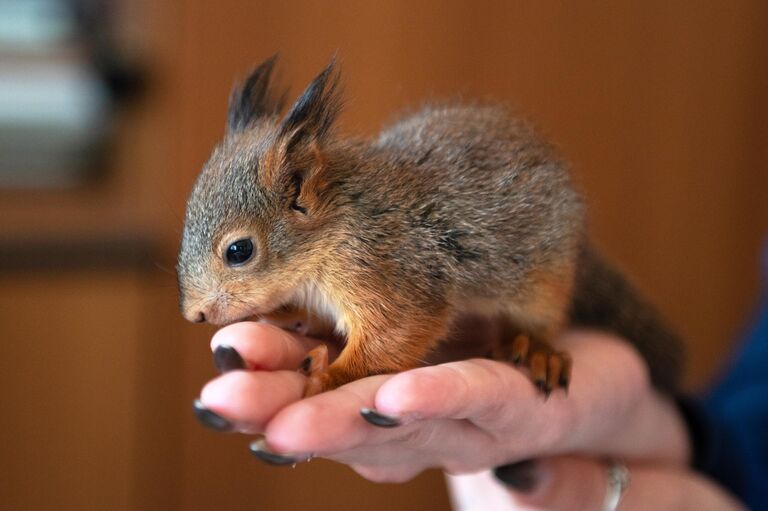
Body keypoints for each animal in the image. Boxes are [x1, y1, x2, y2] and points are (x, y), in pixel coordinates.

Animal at [178, 58, 684, 398]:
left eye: (239, 251)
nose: (194, 316)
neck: (331, 234)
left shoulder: (388, 270)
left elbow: (397, 334)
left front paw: (329, 373)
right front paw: (299, 318)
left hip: (544, 279)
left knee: (542, 318)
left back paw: (536, 347)